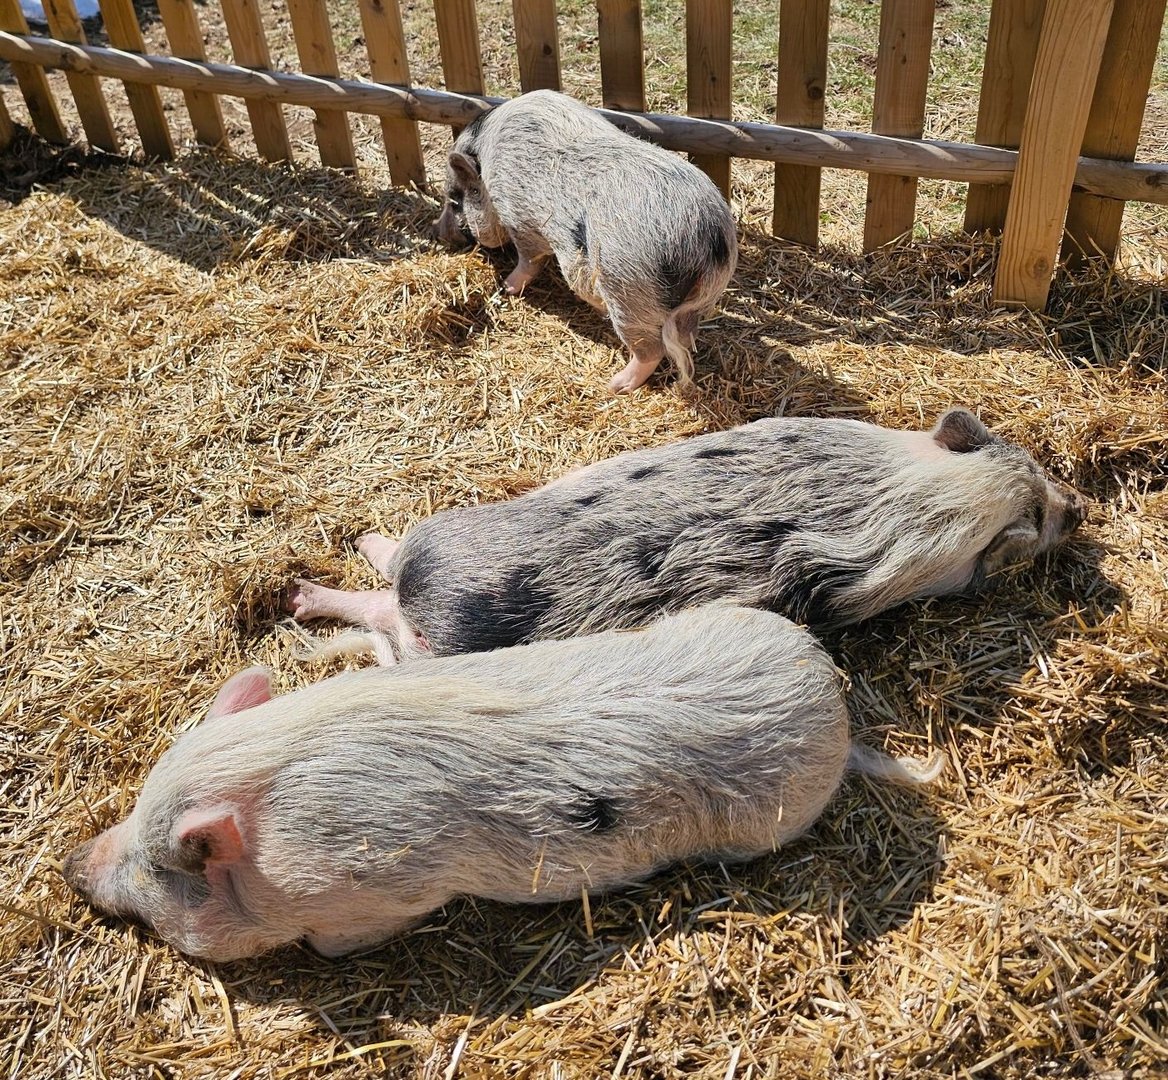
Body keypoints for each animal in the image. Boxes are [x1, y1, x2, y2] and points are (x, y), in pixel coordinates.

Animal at [284, 409, 1086, 662]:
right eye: (1043, 513)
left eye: (1037, 465)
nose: (1079, 506)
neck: (934, 493)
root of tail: (424, 595)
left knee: (377, 591)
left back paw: (317, 579)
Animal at [432, 90, 738, 394]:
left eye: (455, 199)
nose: (438, 232)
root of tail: (706, 235)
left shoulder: (519, 220)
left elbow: (529, 259)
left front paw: (506, 286)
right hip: (701, 295)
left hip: (627, 288)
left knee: (652, 348)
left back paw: (615, 385)